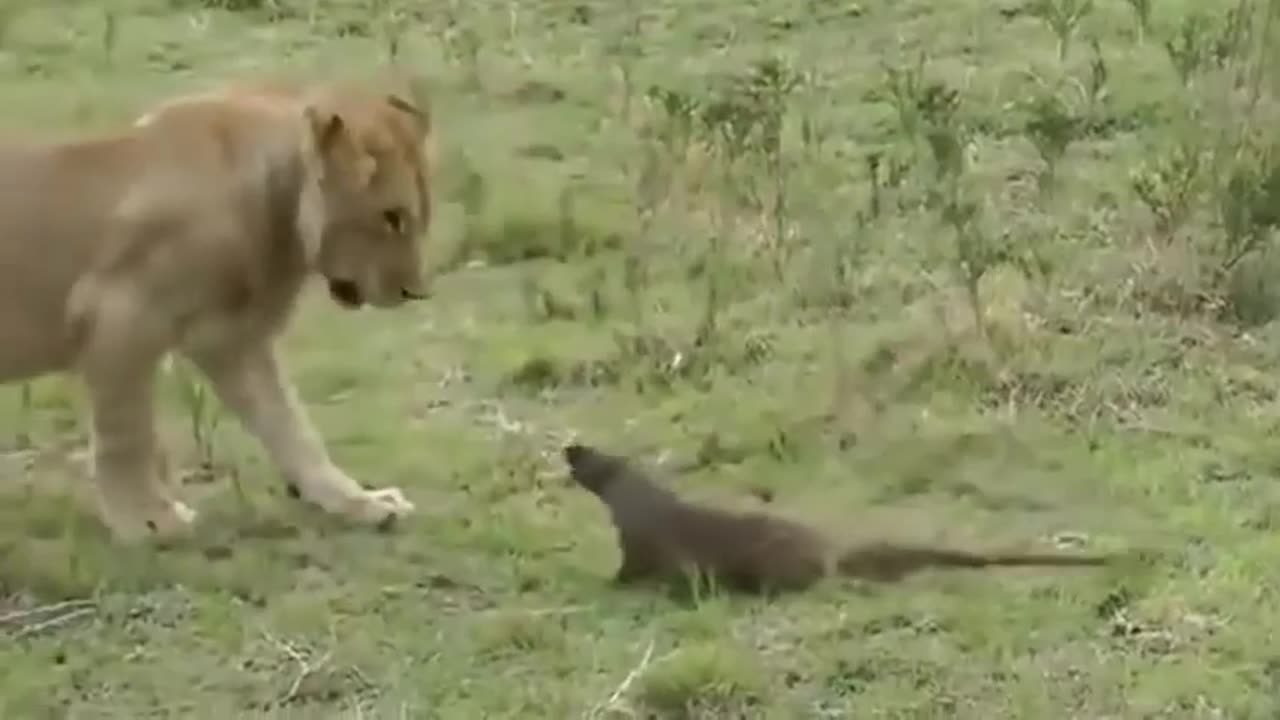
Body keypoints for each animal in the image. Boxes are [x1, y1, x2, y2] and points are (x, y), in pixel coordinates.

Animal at [0, 75, 435, 540]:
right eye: (392, 217)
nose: (416, 292)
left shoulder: (233, 340)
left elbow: (292, 428)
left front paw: (359, 503)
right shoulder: (116, 313)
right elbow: (126, 432)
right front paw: (148, 520)